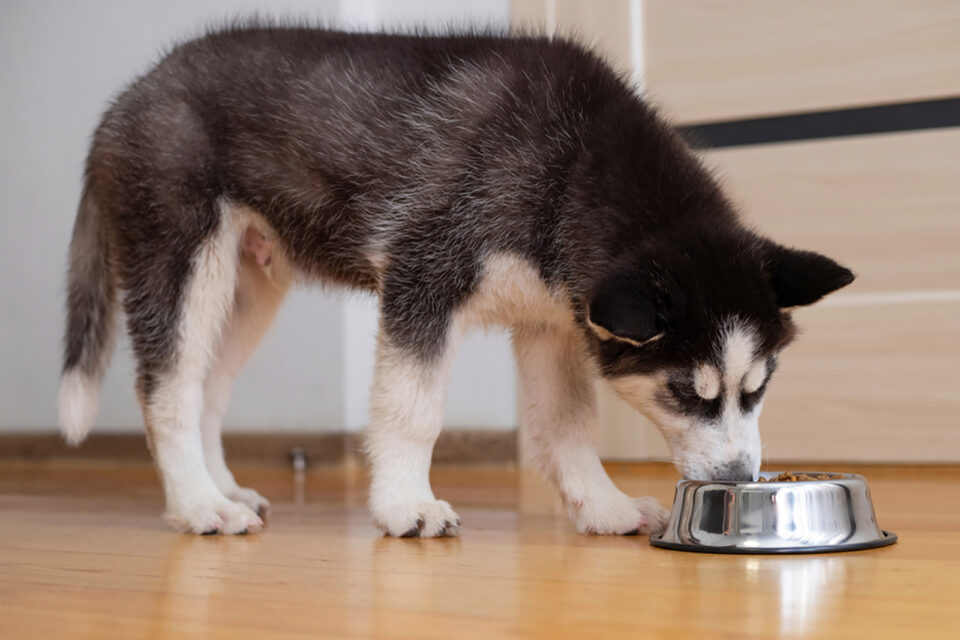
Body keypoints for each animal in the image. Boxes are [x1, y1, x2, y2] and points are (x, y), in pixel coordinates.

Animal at [58, 26, 856, 536]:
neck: (571, 165)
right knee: (165, 388)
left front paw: (602, 508)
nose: (740, 476)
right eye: (686, 392)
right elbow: (413, 411)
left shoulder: (551, 320)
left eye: (758, 390)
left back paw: (220, 487)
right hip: (182, 256)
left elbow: (568, 425)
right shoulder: (423, 275)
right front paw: (405, 505)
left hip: (248, 286)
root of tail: (126, 99)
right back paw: (197, 505)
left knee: (208, 387)